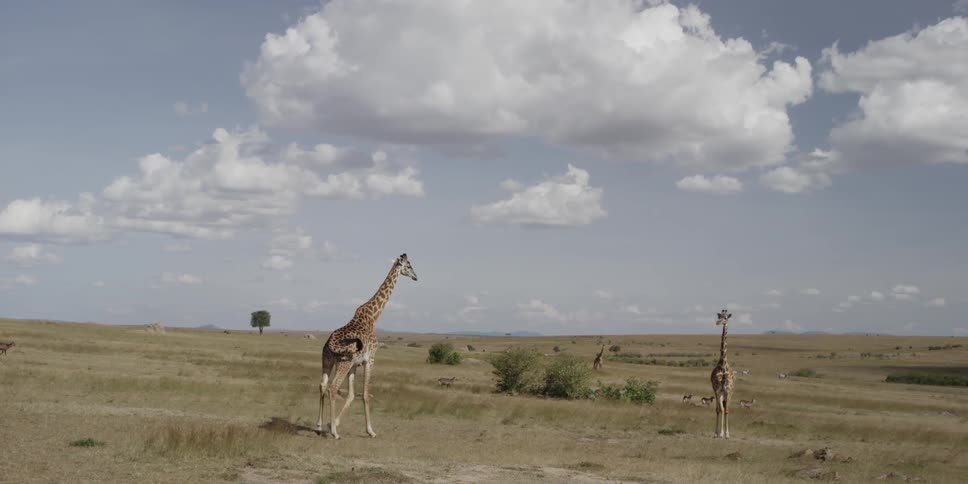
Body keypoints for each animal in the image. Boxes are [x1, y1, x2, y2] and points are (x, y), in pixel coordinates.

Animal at [316, 253, 418, 439]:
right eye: (409, 266)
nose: (416, 277)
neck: (373, 317)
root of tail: (330, 344)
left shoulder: (355, 364)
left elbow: (351, 395)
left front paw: (333, 423)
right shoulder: (370, 359)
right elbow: (365, 394)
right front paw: (370, 431)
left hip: (327, 360)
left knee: (323, 385)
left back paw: (319, 426)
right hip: (344, 362)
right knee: (333, 388)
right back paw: (335, 434)